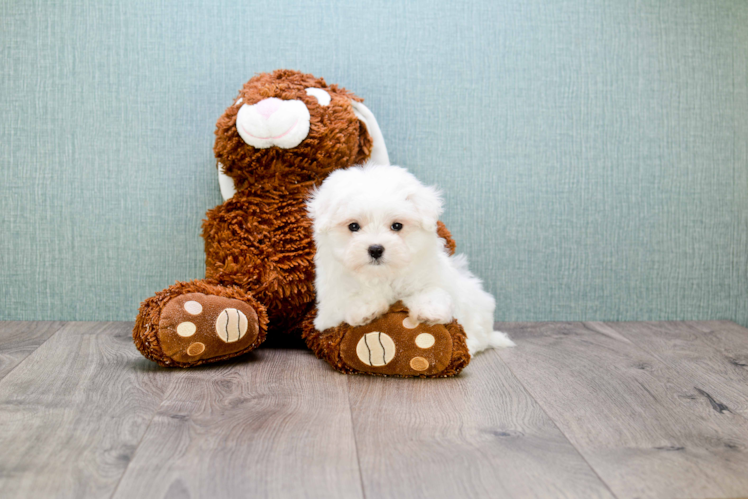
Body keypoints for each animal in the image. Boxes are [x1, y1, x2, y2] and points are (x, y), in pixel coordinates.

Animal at [308, 162, 516, 354]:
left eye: (397, 226)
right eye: (353, 226)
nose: (376, 249)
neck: (383, 275)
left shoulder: (433, 275)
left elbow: (432, 290)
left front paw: (430, 310)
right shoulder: (328, 308)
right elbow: (349, 299)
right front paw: (365, 308)